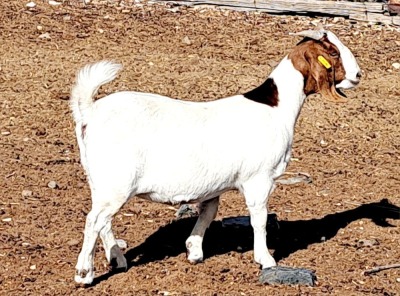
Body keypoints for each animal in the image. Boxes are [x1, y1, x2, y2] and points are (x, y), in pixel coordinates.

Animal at [70, 29, 360, 284]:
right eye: (333, 52)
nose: (358, 74)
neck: (276, 107)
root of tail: (90, 111)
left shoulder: (214, 185)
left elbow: (208, 212)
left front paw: (194, 250)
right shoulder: (259, 179)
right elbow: (259, 219)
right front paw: (265, 259)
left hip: (101, 181)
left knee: (102, 220)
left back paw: (117, 259)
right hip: (116, 182)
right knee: (94, 221)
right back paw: (84, 274)